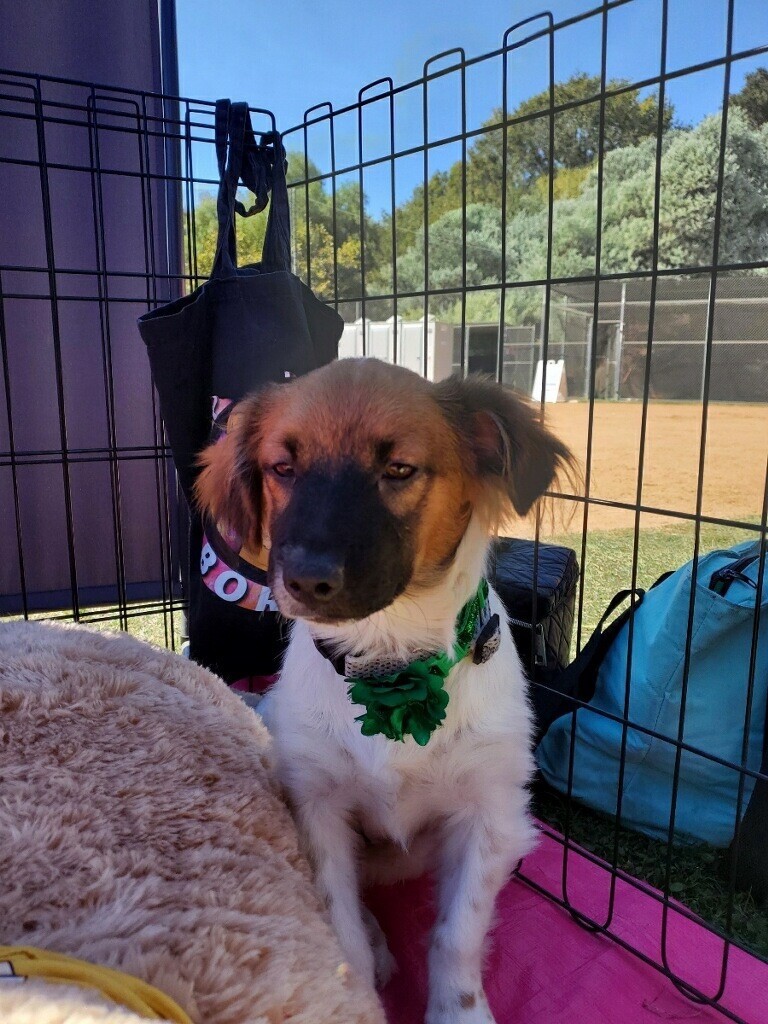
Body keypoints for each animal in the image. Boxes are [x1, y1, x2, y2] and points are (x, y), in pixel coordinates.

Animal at [195, 356, 573, 1019]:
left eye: (398, 469)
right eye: (282, 468)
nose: (305, 578)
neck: (391, 666)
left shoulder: (489, 813)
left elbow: (456, 934)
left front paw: (459, 1012)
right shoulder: (316, 806)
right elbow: (338, 926)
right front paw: (357, 995)